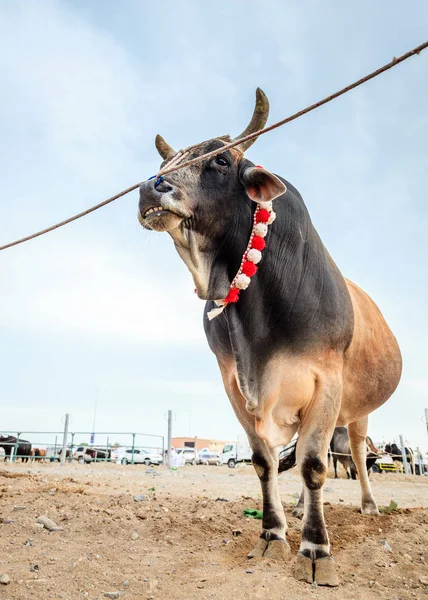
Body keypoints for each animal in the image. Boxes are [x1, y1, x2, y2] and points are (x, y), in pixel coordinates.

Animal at [136, 90, 402, 584]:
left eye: (221, 160)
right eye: (165, 163)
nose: (150, 189)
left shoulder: (326, 378)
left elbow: (315, 464)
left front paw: (316, 549)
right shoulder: (234, 384)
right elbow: (266, 463)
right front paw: (273, 535)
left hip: (357, 410)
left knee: (353, 454)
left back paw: (369, 505)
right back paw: (298, 509)